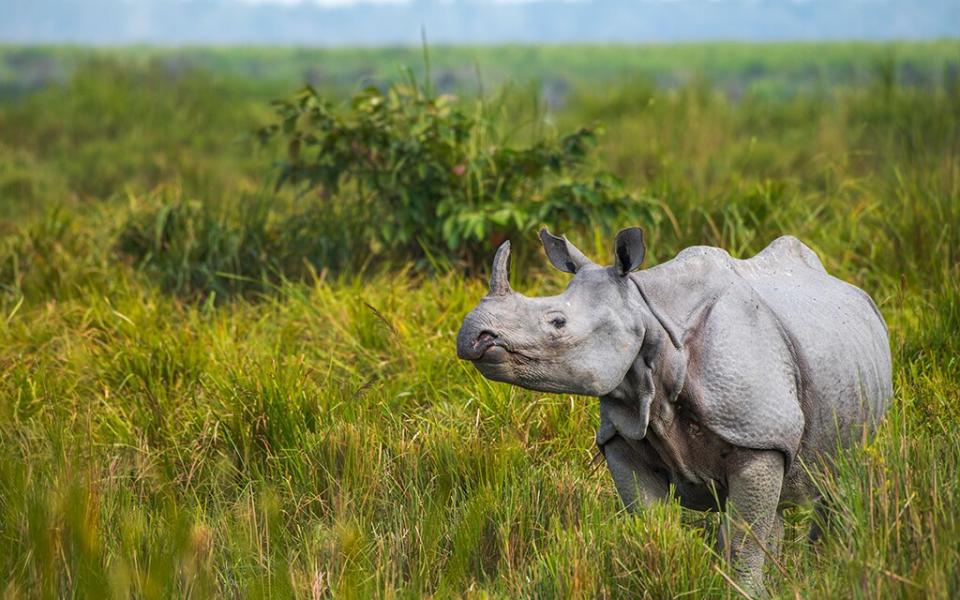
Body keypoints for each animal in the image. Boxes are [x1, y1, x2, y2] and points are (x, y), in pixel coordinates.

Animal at [458, 227, 892, 592]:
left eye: (557, 322)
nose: (471, 337)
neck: (650, 326)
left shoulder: (758, 437)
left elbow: (744, 539)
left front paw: (744, 592)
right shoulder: (622, 439)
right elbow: (650, 522)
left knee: (838, 481)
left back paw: (830, 567)